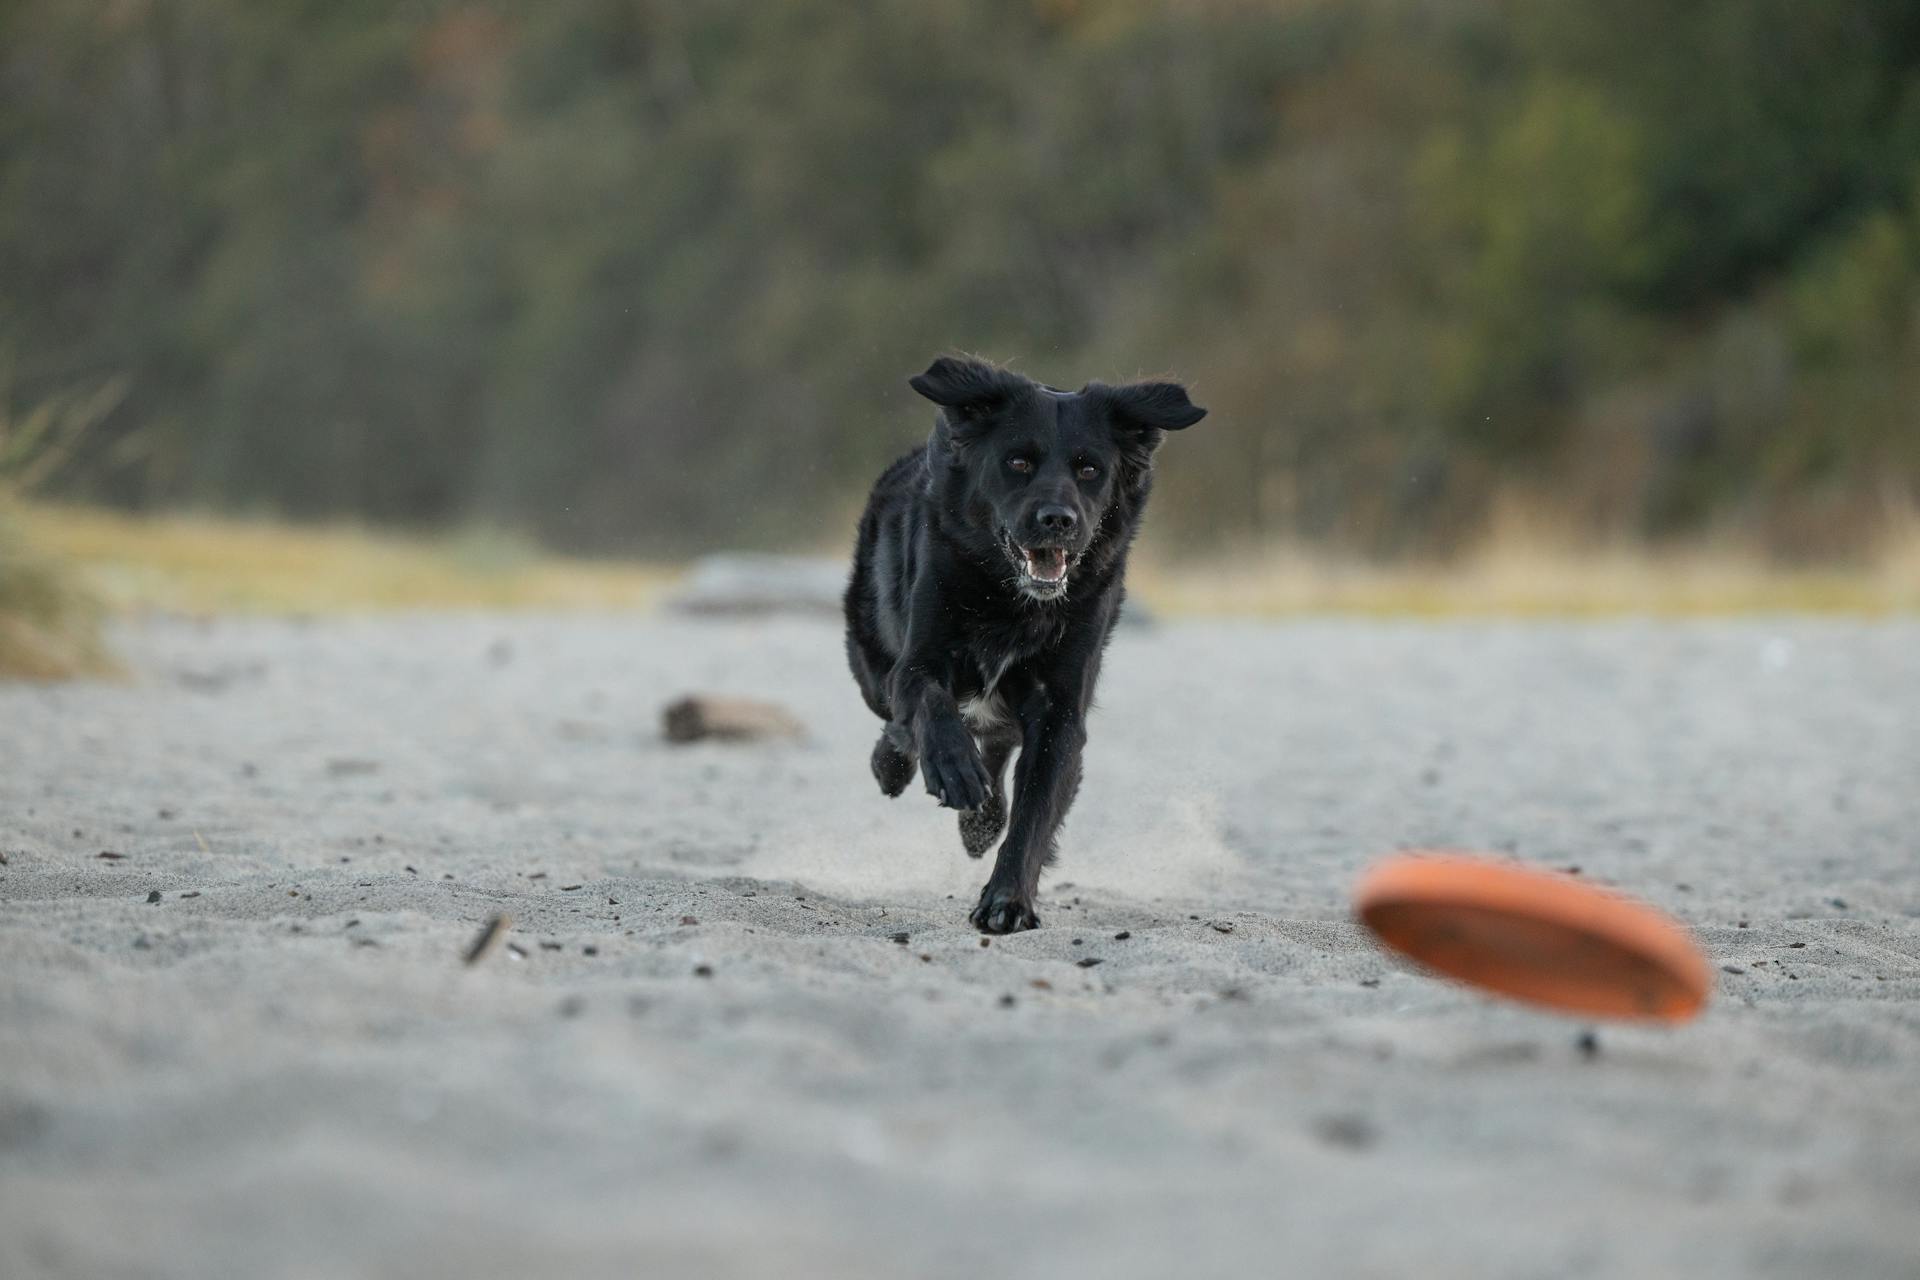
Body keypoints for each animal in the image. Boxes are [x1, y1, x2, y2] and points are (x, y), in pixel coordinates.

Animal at [840, 355, 1198, 936]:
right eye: (1018, 462)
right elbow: (929, 705)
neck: (1012, 600)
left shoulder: (1060, 709)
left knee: (996, 743)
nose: (1058, 520)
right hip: (872, 660)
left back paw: (981, 821)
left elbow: (1034, 811)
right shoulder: (921, 661)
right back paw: (900, 770)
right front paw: (953, 770)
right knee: (899, 719)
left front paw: (1007, 900)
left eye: (1090, 469)